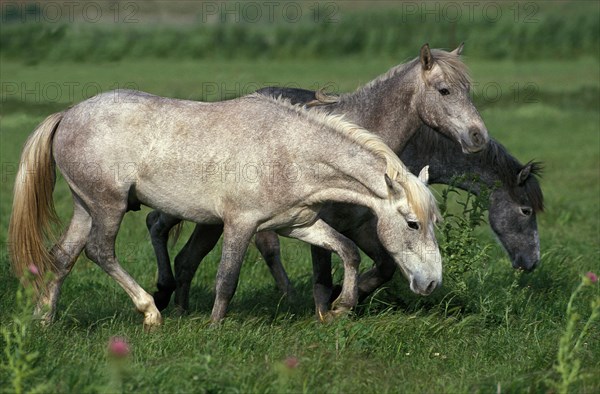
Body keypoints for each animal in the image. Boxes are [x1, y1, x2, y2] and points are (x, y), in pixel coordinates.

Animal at [7, 91, 442, 328]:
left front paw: (340, 307)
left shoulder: (297, 224)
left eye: (433, 222)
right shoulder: (240, 224)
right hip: (108, 205)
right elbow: (226, 278)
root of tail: (68, 115)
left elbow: (347, 251)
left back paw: (44, 319)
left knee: (63, 256)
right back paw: (151, 312)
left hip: (85, 206)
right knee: (100, 252)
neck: (290, 152)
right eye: (412, 223)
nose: (432, 283)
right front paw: (215, 327)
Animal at [148, 43, 494, 314]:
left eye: (468, 90)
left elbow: (382, 266)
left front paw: (350, 297)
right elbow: (323, 277)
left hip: (211, 220)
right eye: (444, 90)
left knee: (188, 256)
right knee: (159, 224)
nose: (479, 137)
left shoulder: (361, 226)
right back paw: (165, 292)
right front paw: (329, 309)